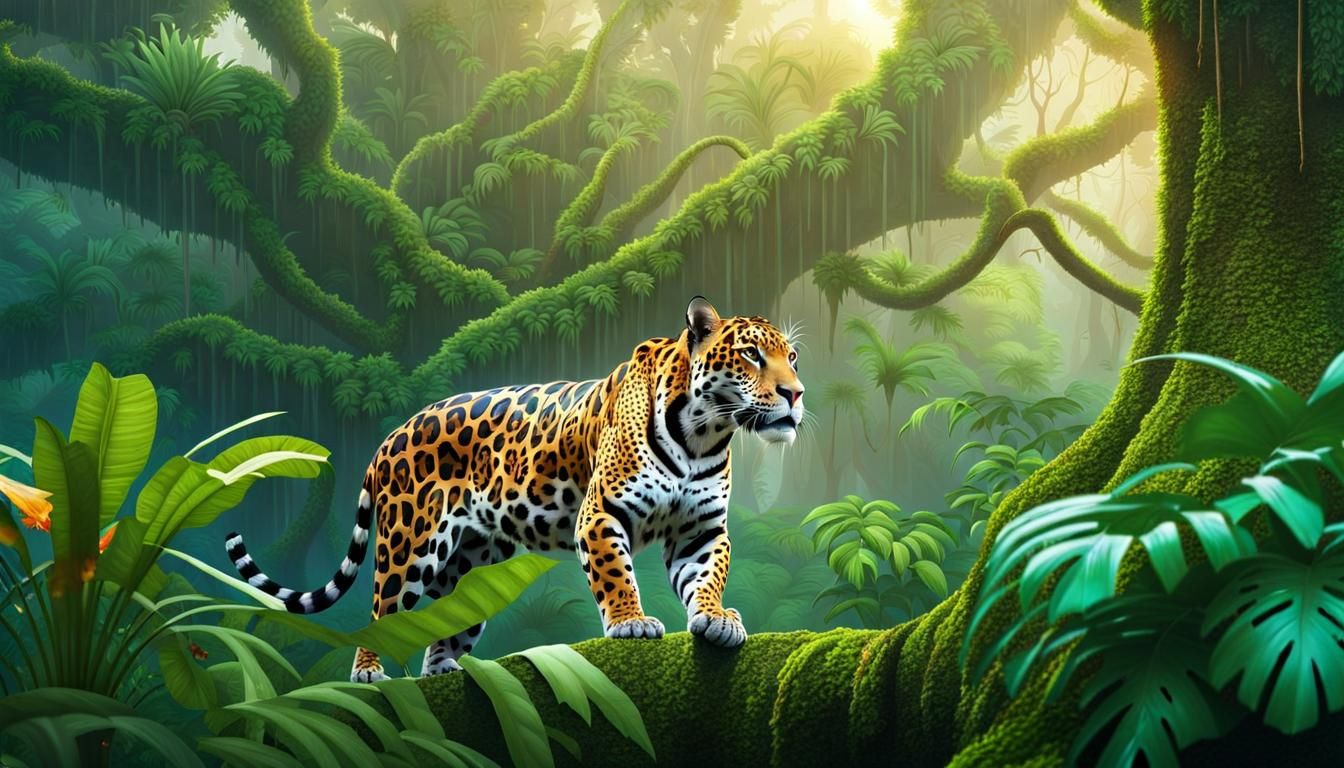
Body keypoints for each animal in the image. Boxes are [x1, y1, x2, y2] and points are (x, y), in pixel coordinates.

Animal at [224, 296, 805, 682]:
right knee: (382, 615)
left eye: (792, 358)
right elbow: (617, 576)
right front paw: (631, 623)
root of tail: (391, 436)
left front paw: (716, 619)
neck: (704, 433)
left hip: (469, 566)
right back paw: (368, 673)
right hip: (408, 549)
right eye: (752, 355)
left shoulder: (700, 531)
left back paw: (448, 673)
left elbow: (707, 576)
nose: (796, 394)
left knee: (445, 628)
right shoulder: (601, 514)